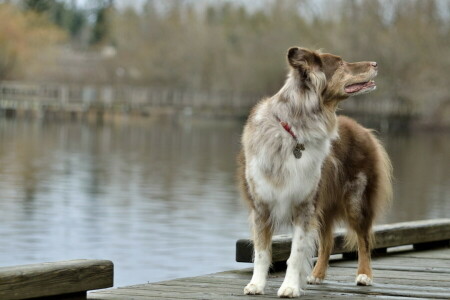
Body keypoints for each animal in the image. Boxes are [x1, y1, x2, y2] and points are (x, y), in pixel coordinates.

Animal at [237, 47, 392, 298]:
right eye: (341, 64)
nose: (376, 63)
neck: (294, 130)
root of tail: (363, 128)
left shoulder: (304, 205)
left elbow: (296, 253)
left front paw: (289, 287)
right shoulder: (261, 205)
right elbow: (262, 252)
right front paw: (256, 285)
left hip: (356, 199)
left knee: (364, 239)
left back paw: (364, 275)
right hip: (326, 204)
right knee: (327, 241)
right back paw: (317, 275)